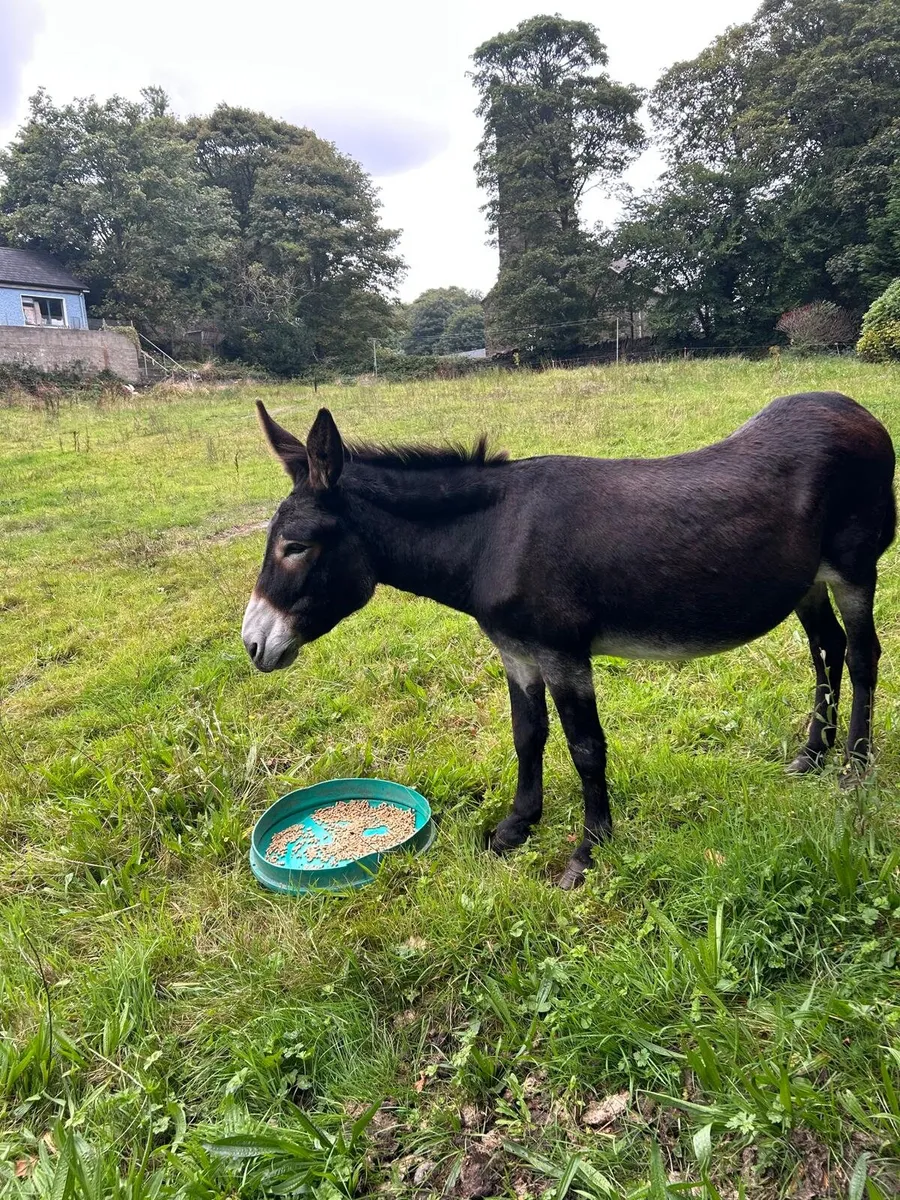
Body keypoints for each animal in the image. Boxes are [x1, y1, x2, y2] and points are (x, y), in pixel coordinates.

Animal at [242, 392, 895, 888]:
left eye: (295, 546)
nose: (251, 646)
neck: (491, 536)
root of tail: (852, 406)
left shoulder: (563, 654)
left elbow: (585, 747)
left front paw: (588, 851)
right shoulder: (517, 651)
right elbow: (527, 736)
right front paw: (514, 828)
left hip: (853, 568)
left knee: (863, 653)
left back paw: (855, 767)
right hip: (804, 582)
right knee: (827, 648)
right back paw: (812, 754)